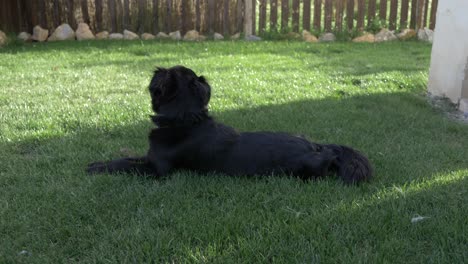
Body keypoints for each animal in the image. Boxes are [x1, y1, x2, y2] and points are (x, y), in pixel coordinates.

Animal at [87, 65, 372, 184]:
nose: (157, 71)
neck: (184, 119)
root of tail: (317, 145)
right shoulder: (149, 157)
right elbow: (125, 159)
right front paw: (98, 163)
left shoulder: (157, 170)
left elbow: (126, 166)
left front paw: (97, 169)